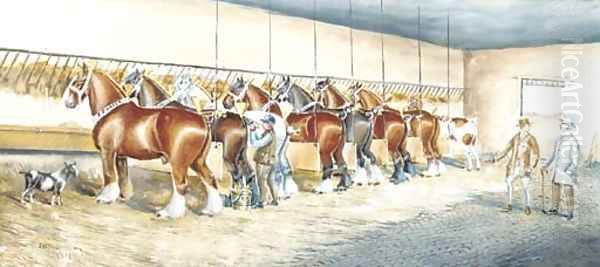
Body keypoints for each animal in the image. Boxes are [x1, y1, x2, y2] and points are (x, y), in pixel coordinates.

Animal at [63, 65, 223, 220]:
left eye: (78, 82)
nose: (68, 103)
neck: (113, 111)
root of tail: (202, 120)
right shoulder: (120, 156)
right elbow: (122, 176)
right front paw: (122, 195)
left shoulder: (107, 151)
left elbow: (109, 174)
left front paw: (105, 198)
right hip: (197, 161)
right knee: (210, 179)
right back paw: (210, 210)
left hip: (179, 162)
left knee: (181, 185)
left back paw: (168, 213)